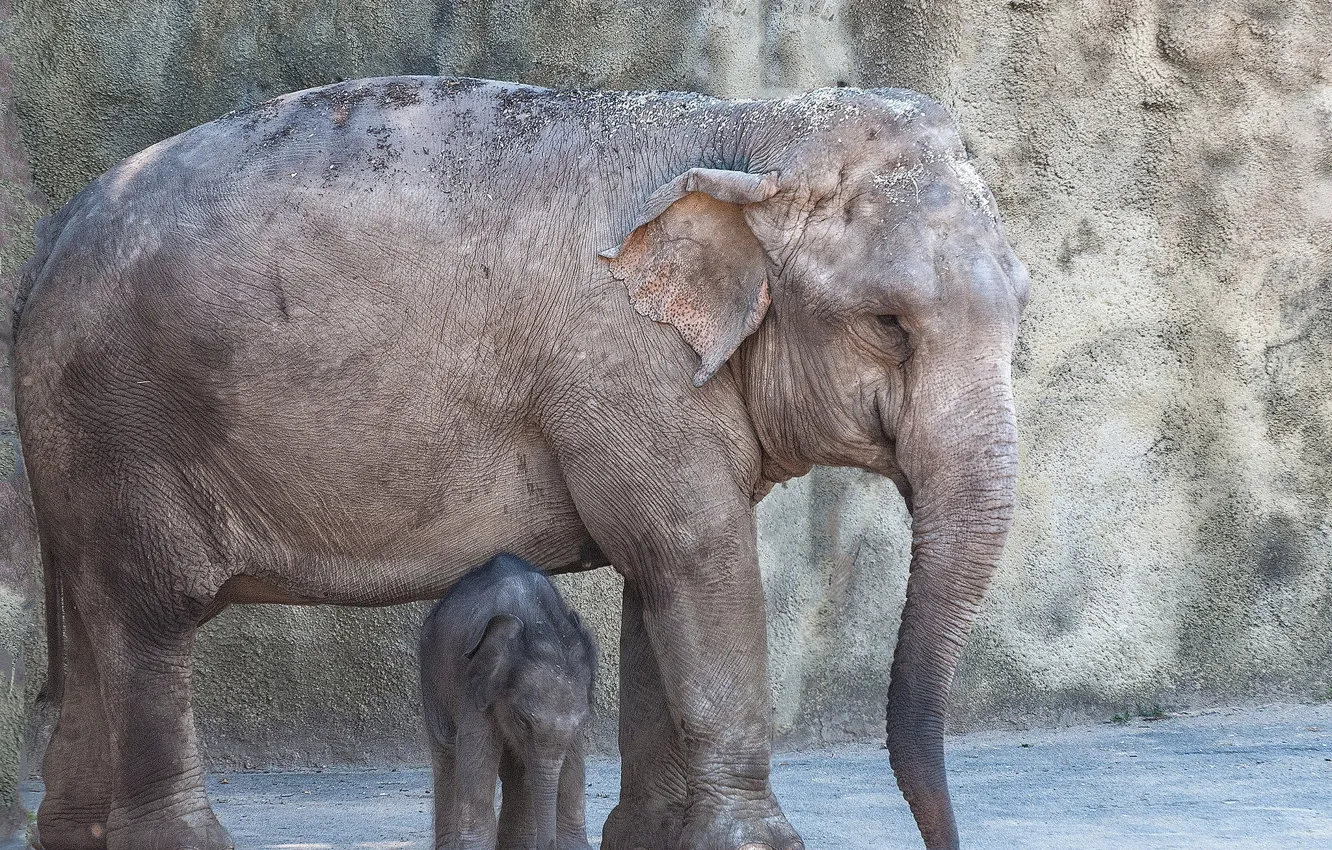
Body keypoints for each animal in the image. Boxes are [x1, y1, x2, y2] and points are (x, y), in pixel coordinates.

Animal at [419, 553, 596, 850]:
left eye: (581, 722)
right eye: (523, 721)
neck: (538, 623)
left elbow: (571, 760)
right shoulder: (473, 683)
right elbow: (479, 750)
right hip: (431, 672)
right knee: (446, 752)